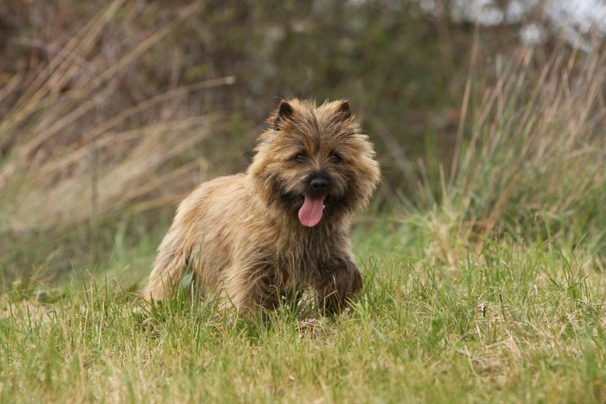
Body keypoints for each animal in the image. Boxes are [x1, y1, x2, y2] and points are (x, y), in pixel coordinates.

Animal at [144, 98, 380, 316]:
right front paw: (246, 324)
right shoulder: (252, 266)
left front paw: (333, 310)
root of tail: (199, 189)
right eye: (299, 156)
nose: (319, 183)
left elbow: (345, 273)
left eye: (336, 156)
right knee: (166, 284)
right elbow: (248, 296)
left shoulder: (332, 255)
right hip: (179, 259)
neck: (295, 223)